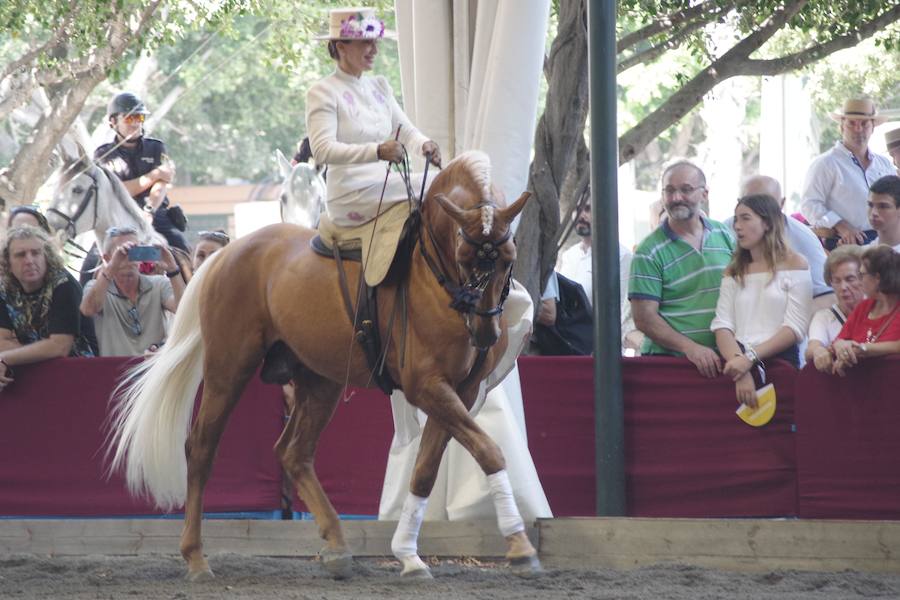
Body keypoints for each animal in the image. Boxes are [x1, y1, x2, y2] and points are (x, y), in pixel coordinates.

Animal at [108, 150, 536, 580]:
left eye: (509, 258)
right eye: (464, 256)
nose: (484, 331)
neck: (434, 273)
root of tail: (225, 255)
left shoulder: (459, 390)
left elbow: (427, 470)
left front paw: (409, 555)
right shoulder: (427, 386)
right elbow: (489, 451)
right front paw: (520, 545)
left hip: (320, 380)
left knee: (293, 454)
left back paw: (337, 546)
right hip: (228, 369)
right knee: (201, 449)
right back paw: (196, 557)